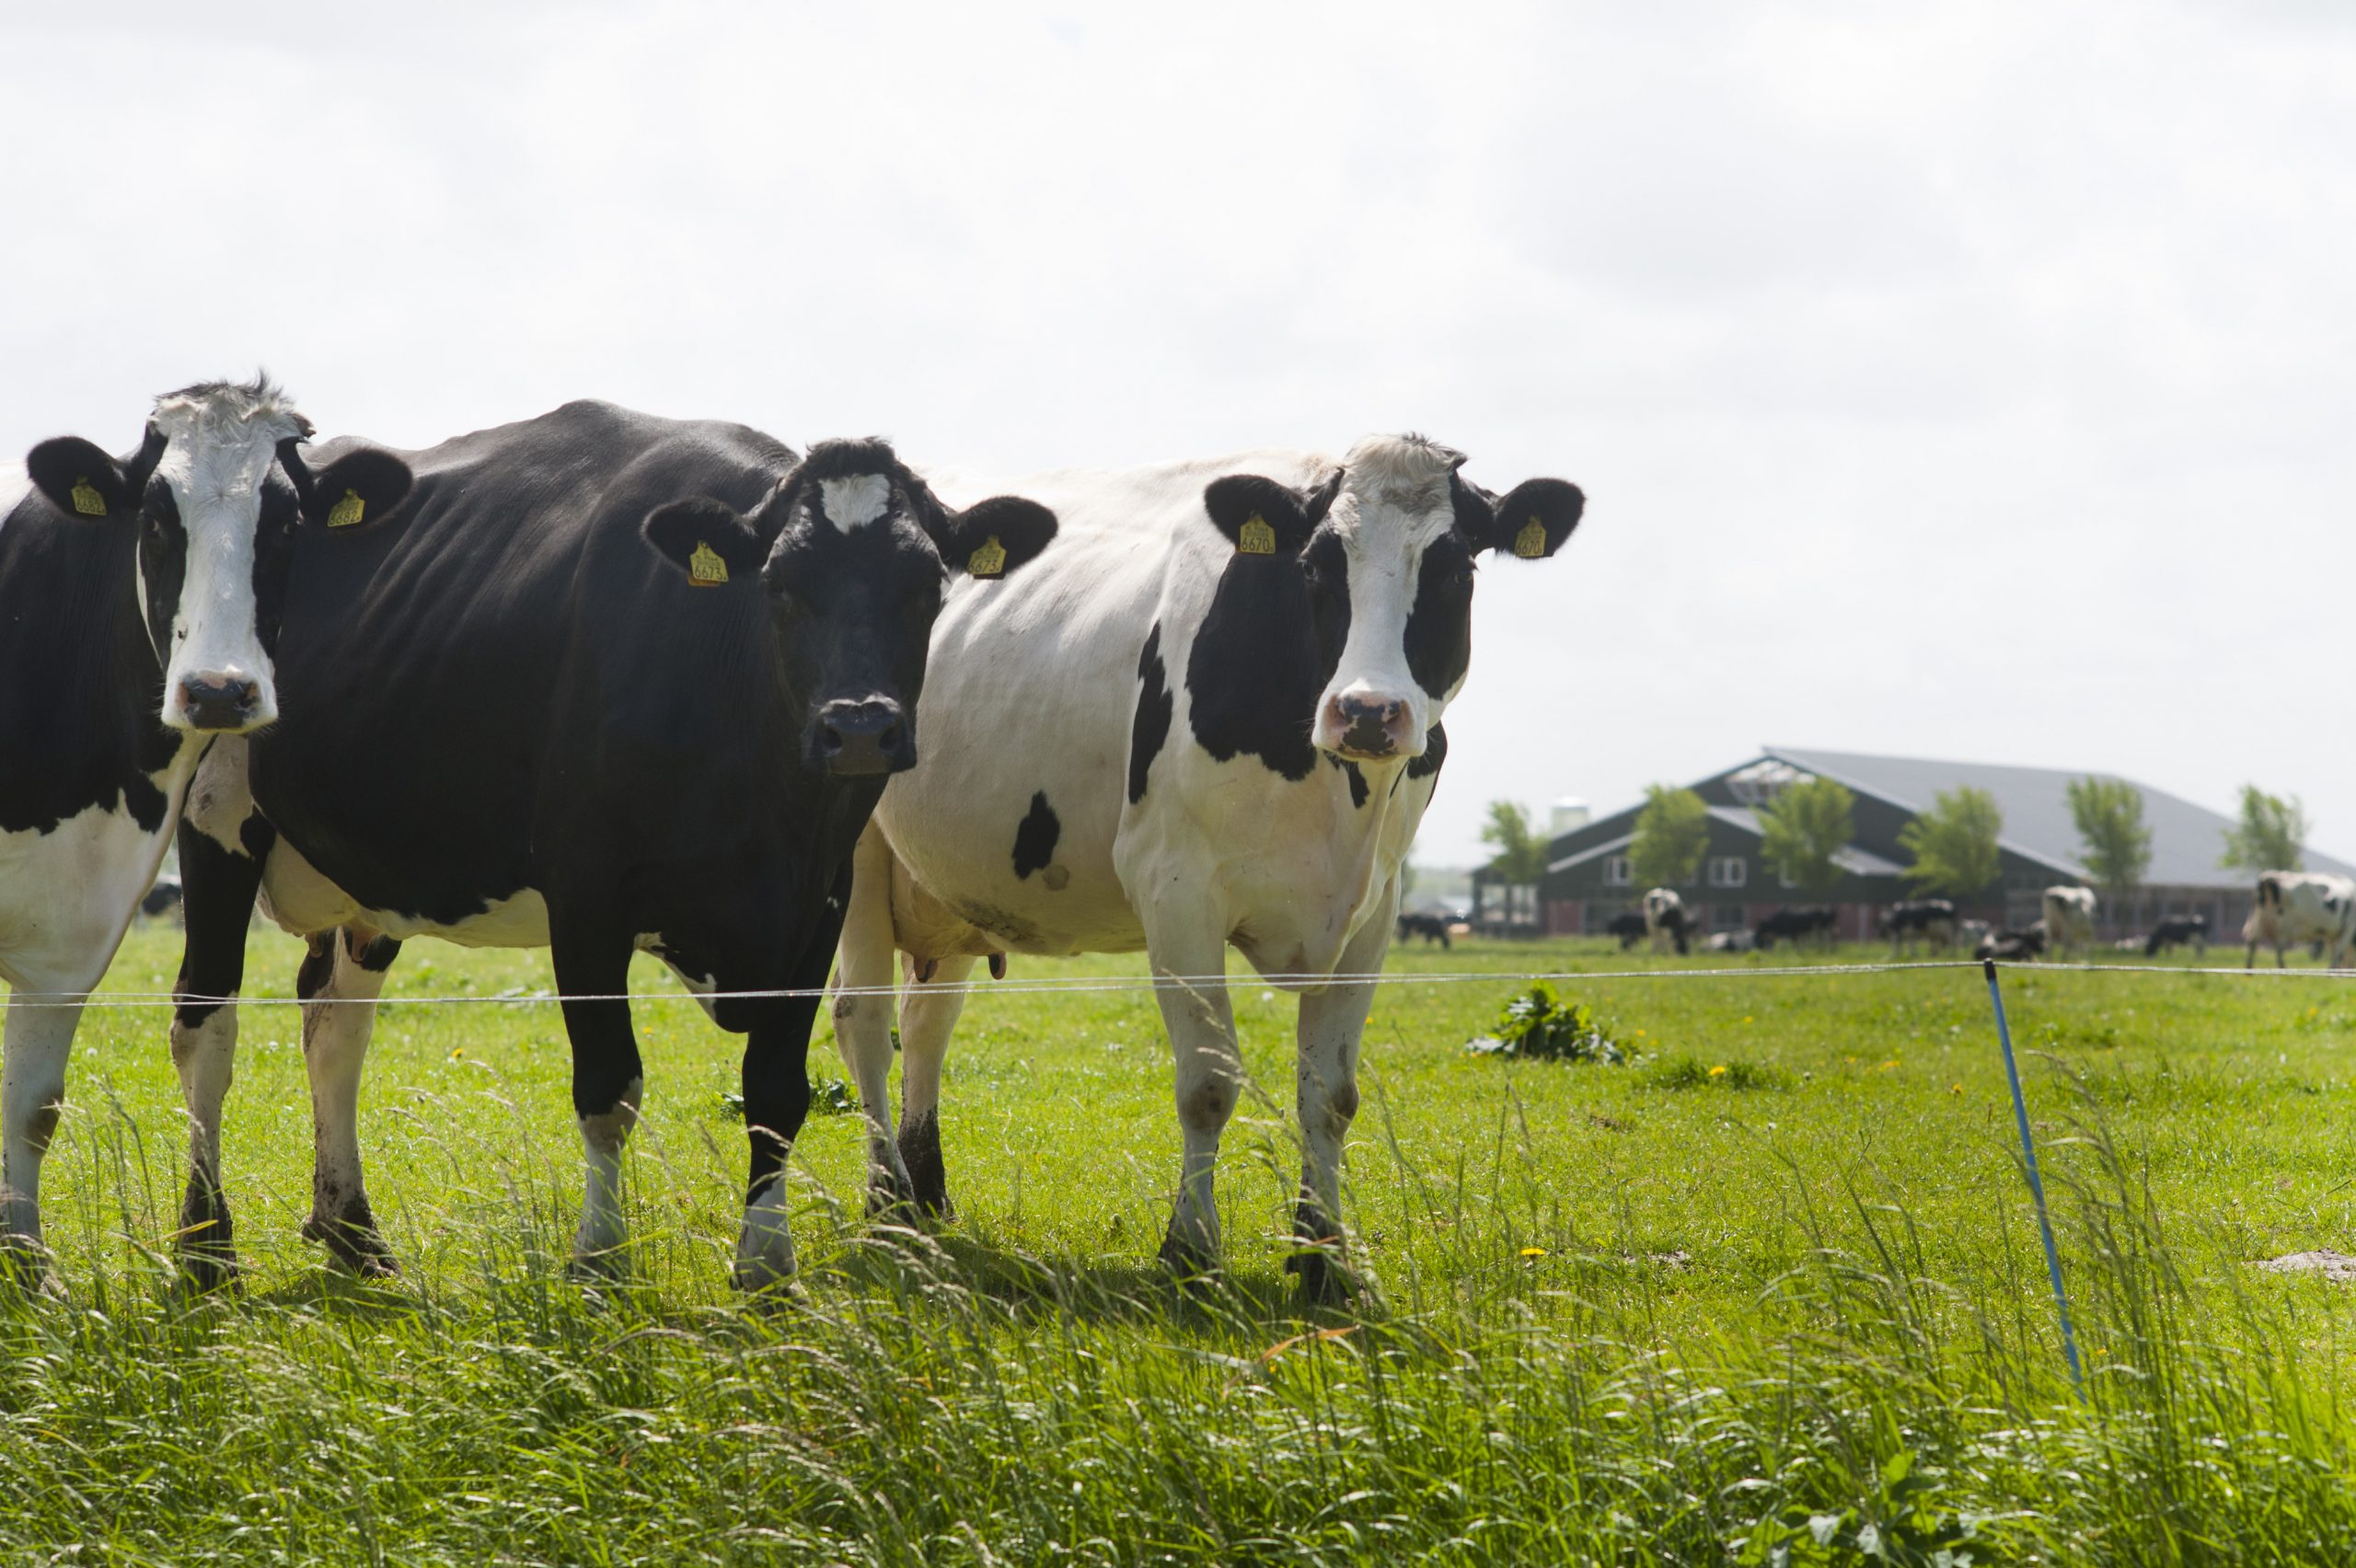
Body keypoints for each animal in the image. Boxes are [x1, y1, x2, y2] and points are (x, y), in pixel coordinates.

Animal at [0, 381, 412, 1280]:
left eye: (287, 524)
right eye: (157, 519)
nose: (220, 692)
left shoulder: (66, 938)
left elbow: (32, 1104)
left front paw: (25, 1264)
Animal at [161, 402, 1055, 1280]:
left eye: (926, 586)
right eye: (782, 586)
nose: (861, 727)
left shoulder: (819, 898)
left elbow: (776, 1089)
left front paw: (768, 1265)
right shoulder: (587, 898)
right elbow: (608, 1087)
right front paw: (599, 1257)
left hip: (371, 874)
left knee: (335, 1025)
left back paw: (353, 1231)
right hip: (213, 819)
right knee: (205, 1024)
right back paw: (207, 1245)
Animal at [829, 431, 1583, 1290]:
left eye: (1457, 570)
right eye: (1318, 567)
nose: (1367, 712)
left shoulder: (1376, 906)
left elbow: (1331, 1093)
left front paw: (1324, 1256)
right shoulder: (1176, 889)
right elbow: (1208, 1085)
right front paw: (1188, 1248)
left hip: (948, 881)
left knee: (927, 1025)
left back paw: (926, 1198)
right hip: (857, 854)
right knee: (864, 1022)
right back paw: (889, 1208)